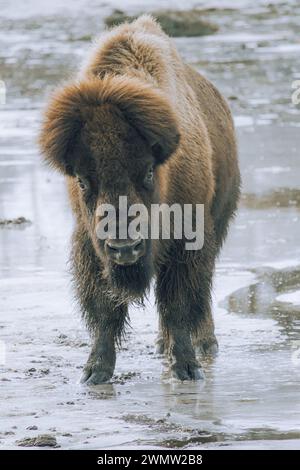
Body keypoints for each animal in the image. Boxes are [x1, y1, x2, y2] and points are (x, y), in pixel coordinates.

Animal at [39, 14, 240, 384]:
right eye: (82, 180)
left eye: (148, 171)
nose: (124, 247)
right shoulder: (90, 245)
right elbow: (104, 311)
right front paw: (94, 372)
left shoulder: (188, 241)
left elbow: (178, 305)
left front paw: (187, 369)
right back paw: (163, 345)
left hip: (218, 224)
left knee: (199, 298)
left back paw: (205, 345)